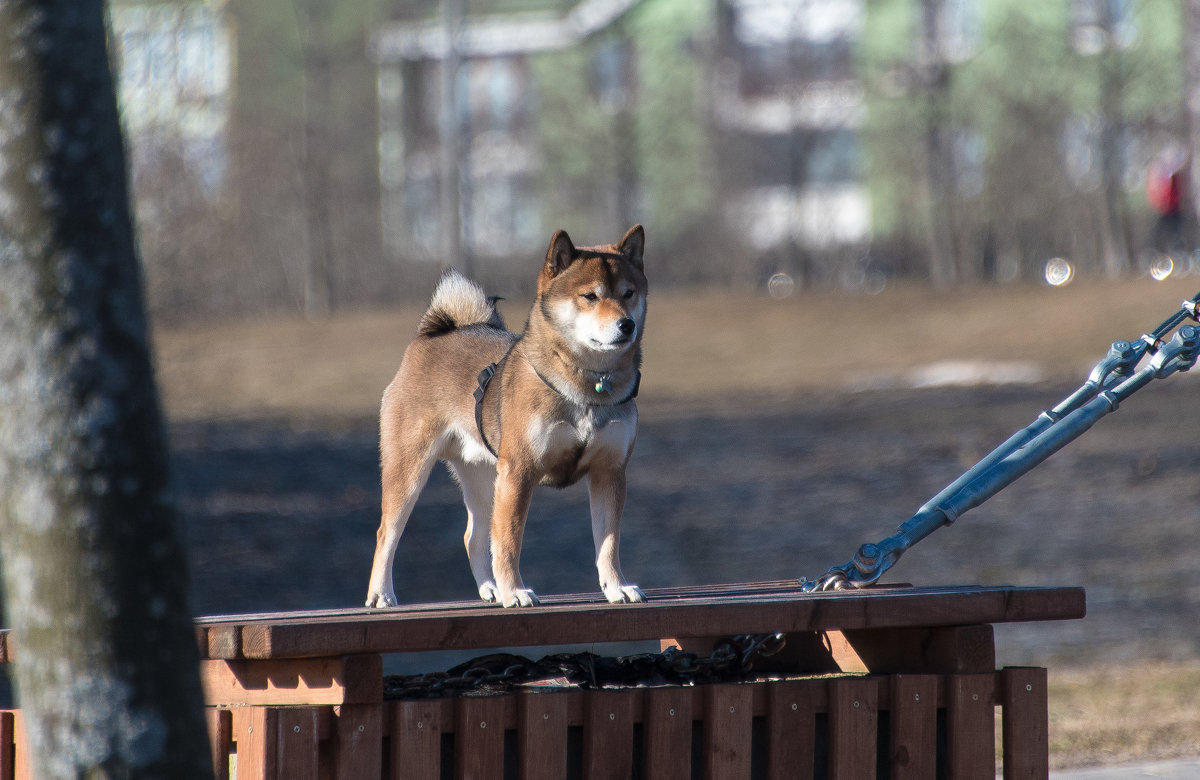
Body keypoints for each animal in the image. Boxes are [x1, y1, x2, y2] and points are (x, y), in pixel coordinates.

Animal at [364, 224, 648, 607]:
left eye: (629, 293)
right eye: (590, 296)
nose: (626, 324)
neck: (587, 385)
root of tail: (431, 336)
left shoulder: (609, 472)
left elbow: (608, 543)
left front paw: (617, 587)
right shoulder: (519, 472)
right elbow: (510, 542)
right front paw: (515, 591)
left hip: (485, 479)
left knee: (473, 537)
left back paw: (491, 588)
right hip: (410, 471)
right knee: (387, 532)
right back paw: (382, 593)